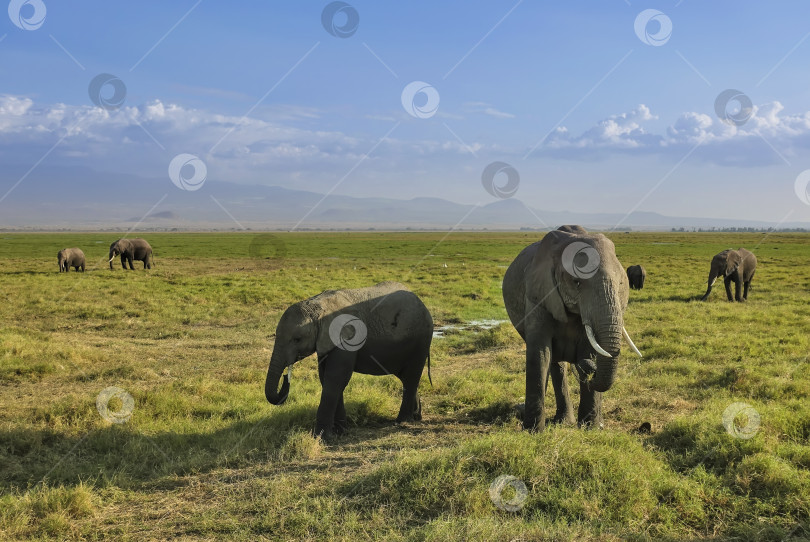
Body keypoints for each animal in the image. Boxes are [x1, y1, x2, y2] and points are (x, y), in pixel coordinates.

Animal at [264, 282, 430, 444]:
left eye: (297, 339)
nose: (285, 378)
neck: (318, 307)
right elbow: (326, 378)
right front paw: (340, 432)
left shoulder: (347, 338)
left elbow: (335, 379)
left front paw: (322, 438)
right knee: (405, 377)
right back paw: (416, 417)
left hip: (420, 340)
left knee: (411, 376)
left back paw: (402, 421)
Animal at [502, 225, 640, 434]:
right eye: (577, 282)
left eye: (621, 284)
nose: (588, 368)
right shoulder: (538, 296)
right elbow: (540, 354)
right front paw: (532, 432)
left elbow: (590, 349)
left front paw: (590, 428)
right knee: (555, 363)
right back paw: (562, 421)